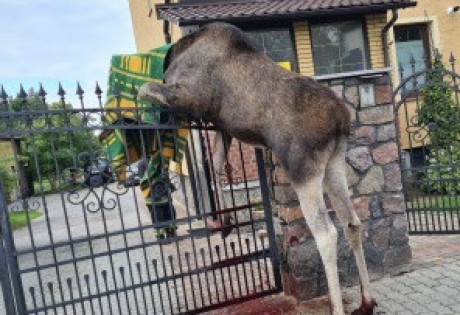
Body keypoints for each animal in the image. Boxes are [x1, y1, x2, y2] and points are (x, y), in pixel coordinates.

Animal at [140, 22, 378, 315]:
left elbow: (144, 88)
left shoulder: (190, 98)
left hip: (302, 168)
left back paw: (337, 307)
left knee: (326, 233)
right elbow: (215, 165)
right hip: (334, 163)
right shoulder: (222, 125)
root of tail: (340, 119)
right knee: (352, 222)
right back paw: (366, 302)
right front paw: (222, 221)